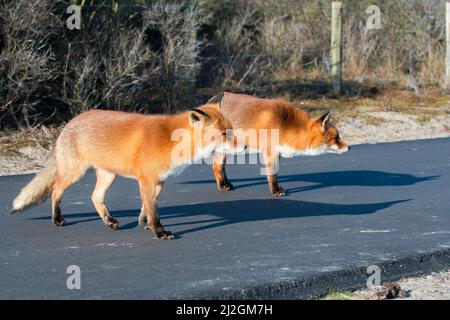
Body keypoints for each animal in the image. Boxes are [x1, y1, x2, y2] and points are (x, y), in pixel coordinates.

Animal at [11, 104, 243, 239]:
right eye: (224, 134)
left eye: (231, 130)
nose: (244, 147)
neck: (172, 142)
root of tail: (70, 122)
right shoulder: (146, 180)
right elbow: (154, 211)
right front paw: (159, 232)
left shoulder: (158, 181)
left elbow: (145, 209)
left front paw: (144, 225)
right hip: (74, 173)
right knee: (55, 190)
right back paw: (57, 218)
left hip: (109, 175)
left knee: (94, 197)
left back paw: (109, 221)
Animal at [209, 92, 350, 196]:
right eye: (336, 138)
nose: (349, 147)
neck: (285, 125)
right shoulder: (269, 152)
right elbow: (272, 174)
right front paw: (275, 191)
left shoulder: (278, 153)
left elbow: (275, 173)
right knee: (216, 167)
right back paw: (222, 186)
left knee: (221, 167)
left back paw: (226, 184)